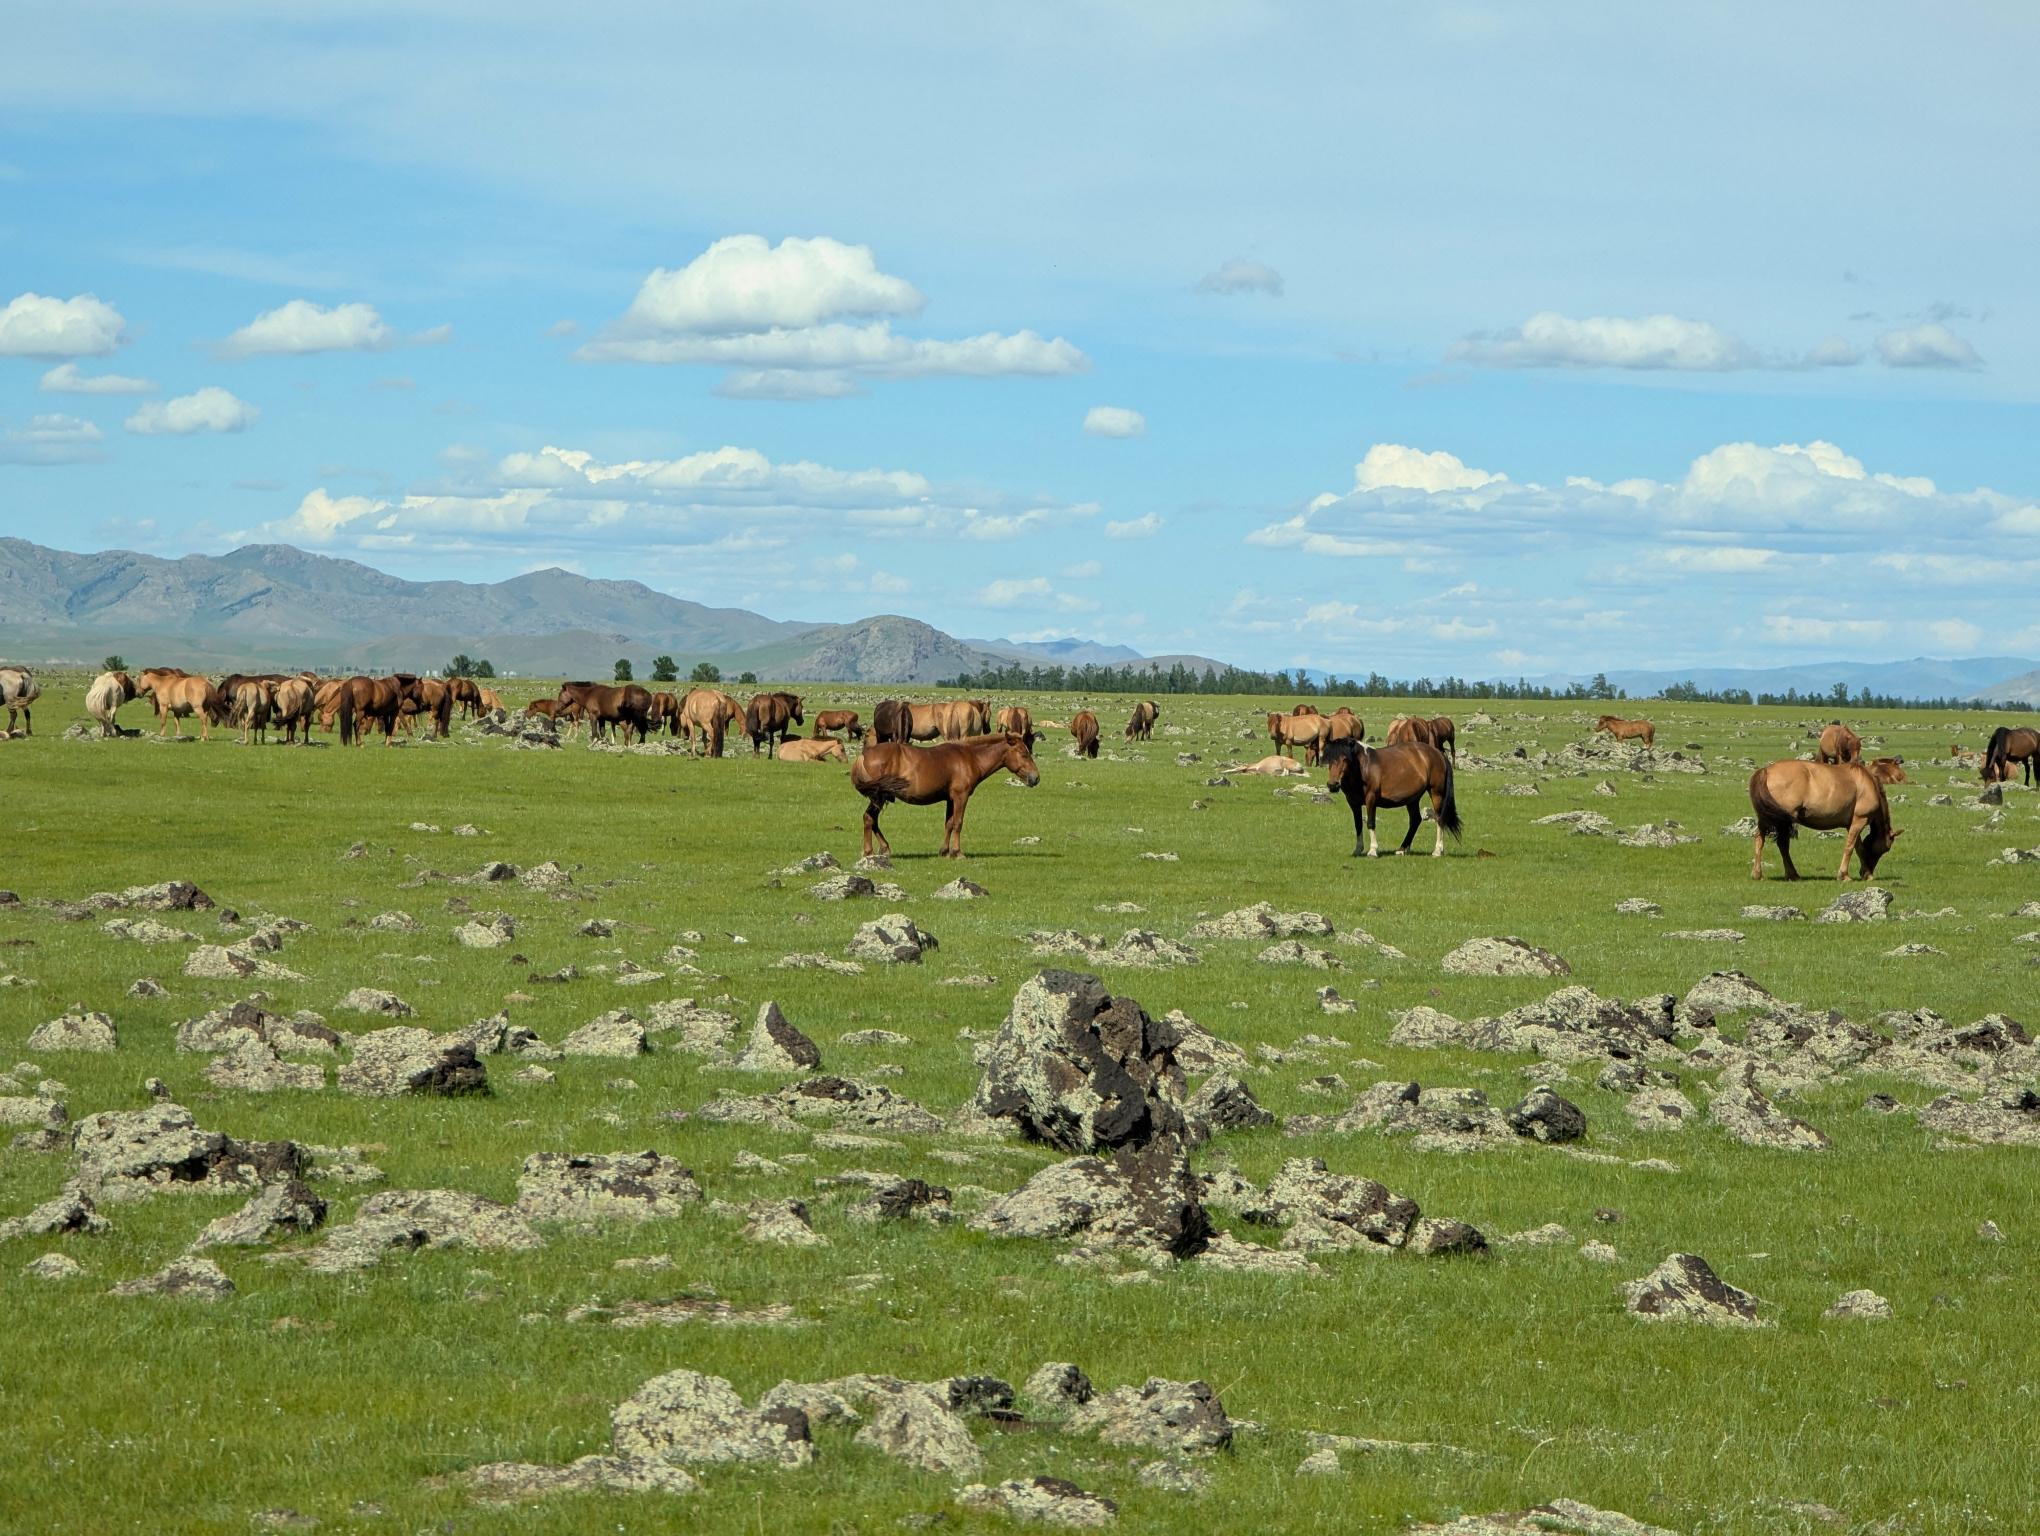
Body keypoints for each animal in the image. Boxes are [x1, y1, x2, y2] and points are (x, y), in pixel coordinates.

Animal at [850, 732, 1041, 858]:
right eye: (1024, 754)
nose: (1036, 778)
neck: (969, 757)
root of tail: (863, 755)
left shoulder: (950, 799)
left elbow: (948, 823)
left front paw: (945, 851)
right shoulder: (960, 797)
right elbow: (958, 823)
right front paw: (957, 852)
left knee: (872, 820)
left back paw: (883, 848)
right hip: (879, 797)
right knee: (869, 818)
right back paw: (869, 851)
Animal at [1323, 738, 1462, 858]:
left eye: (1345, 759)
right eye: (1329, 759)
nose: (1333, 785)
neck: (1363, 767)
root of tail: (1438, 753)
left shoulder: (1371, 799)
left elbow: (1370, 823)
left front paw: (1373, 850)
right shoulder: (1353, 803)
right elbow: (1358, 825)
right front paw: (1357, 849)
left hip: (1436, 793)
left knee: (1439, 819)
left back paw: (1437, 850)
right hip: (1412, 799)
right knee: (1415, 820)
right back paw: (1402, 849)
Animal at [1748, 760, 1899, 882]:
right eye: (1885, 849)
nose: (1865, 871)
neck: (1869, 783)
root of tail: (1766, 771)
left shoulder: (1851, 824)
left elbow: (1858, 847)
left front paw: (1866, 873)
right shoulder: (1859, 821)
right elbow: (1850, 847)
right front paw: (1844, 875)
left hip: (1766, 818)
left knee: (1760, 840)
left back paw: (1758, 874)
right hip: (1782, 820)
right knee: (1783, 845)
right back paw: (1791, 874)